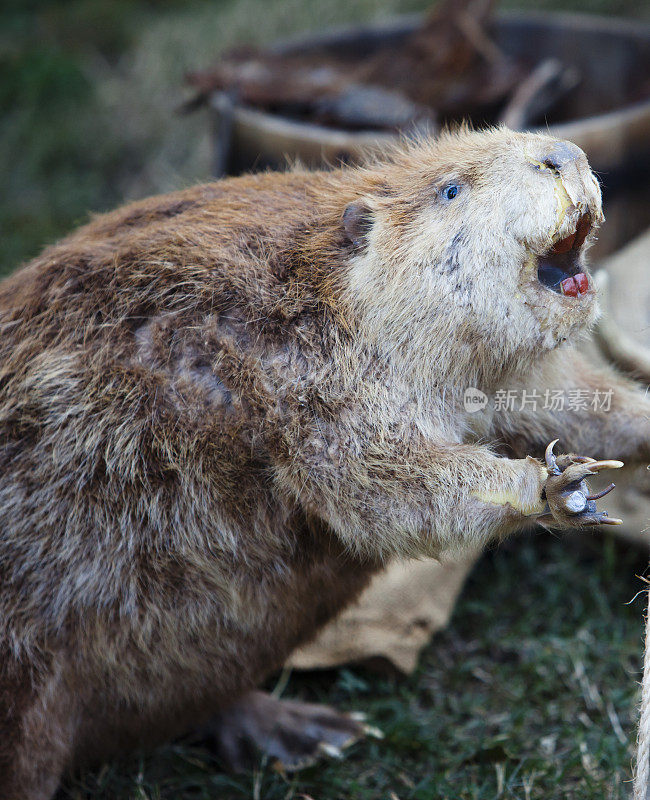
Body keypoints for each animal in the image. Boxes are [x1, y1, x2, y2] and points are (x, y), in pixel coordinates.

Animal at [1, 128, 648, 796]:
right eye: (451, 189)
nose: (563, 155)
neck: (328, 287)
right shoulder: (311, 379)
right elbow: (384, 483)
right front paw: (555, 486)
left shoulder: (496, 376)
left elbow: (563, 400)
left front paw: (638, 428)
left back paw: (304, 733)